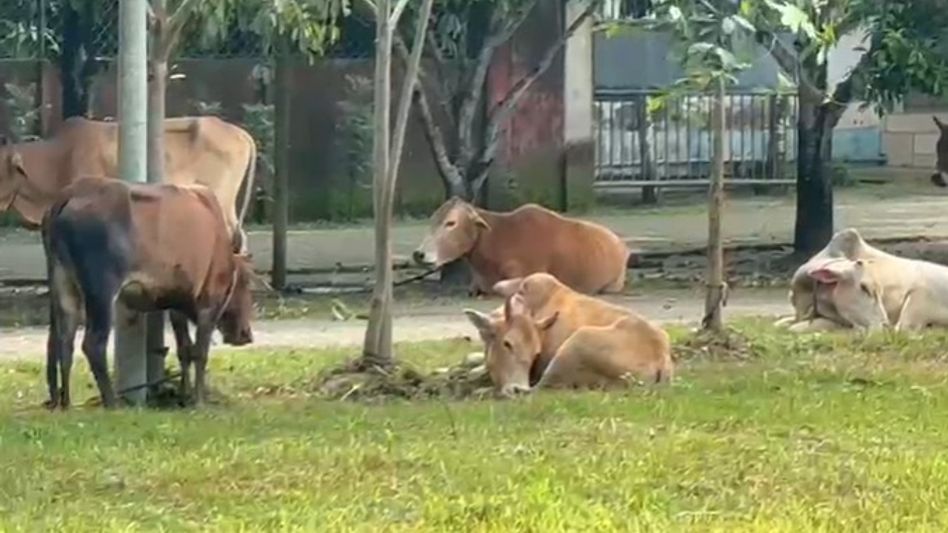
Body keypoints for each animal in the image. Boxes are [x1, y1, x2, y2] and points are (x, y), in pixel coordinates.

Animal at [42, 178, 255, 409]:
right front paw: (198, 401)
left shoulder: (176, 305)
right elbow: (200, 353)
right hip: (101, 291)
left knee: (63, 343)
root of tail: (71, 192)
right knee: (93, 345)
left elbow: (184, 350)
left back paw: (66, 403)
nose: (246, 334)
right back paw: (112, 403)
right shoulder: (208, 303)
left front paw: (184, 395)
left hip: (63, 285)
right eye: (246, 282)